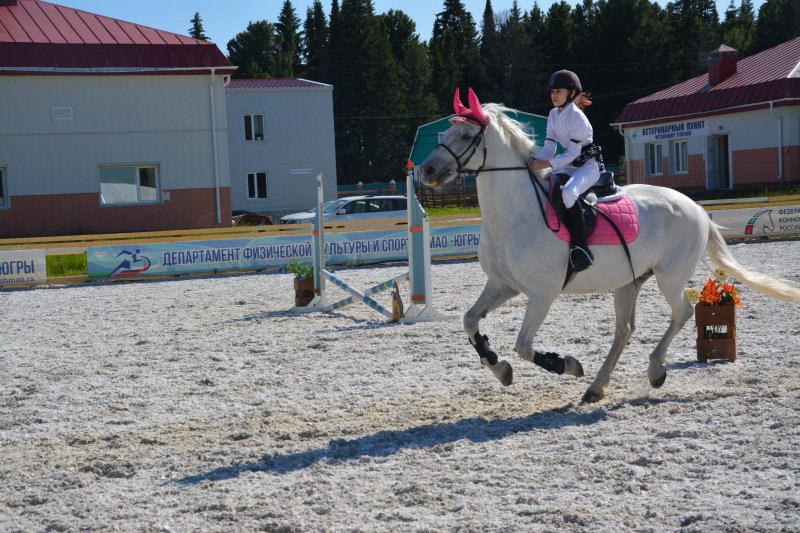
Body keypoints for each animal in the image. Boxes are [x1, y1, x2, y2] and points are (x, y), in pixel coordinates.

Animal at [418, 89, 800, 402]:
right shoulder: (503, 285)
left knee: (682, 313)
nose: (427, 171)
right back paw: (597, 387)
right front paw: (499, 367)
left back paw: (654, 370)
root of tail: (694, 208)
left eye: (466, 135)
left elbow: (524, 345)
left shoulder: (542, 293)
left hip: (670, 276)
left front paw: (566, 364)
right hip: (629, 282)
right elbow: (470, 321)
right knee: (624, 330)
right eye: (445, 133)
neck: (513, 214)